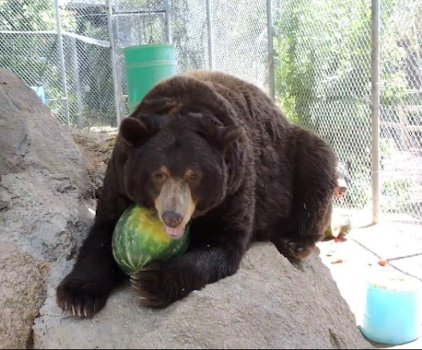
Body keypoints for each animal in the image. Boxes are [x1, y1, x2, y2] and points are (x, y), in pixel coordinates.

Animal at [57, 71, 338, 318]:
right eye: (158, 174)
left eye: (194, 176)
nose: (172, 216)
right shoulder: (120, 170)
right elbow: (103, 229)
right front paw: (77, 297)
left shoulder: (236, 184)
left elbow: (223, 243)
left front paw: (150, 281)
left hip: (291, 154)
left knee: (317, 163)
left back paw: (295, 242)